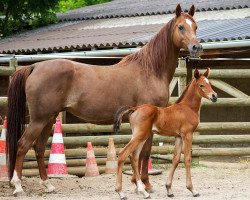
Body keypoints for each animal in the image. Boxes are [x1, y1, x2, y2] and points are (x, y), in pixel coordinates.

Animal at [6, 3, 201, 196]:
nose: (196, 48)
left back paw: (48, 185)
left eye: (195, 26)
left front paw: (137, 183)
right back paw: (18, 186)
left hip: (49, 118)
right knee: (22, 145)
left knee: (38, 148)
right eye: (181, 27)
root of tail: (35, 66)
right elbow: (145, 152)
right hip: (39, 119)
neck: (150, 70)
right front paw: (145, 184)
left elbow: (140, 153)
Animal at [113, 68, 217, 199]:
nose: (214, 96)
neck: (187, 107)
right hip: (140, 135)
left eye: (210, 84)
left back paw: (143, 191)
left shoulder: (178, 137)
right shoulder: (187, 134)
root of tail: (135, 108)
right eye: (201, 85)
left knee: (134, 157)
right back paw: (121, 192)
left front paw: (169, 189)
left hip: (141, 136)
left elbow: (175, 159)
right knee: (123, 154)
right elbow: (187, 158)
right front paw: (192, 189)